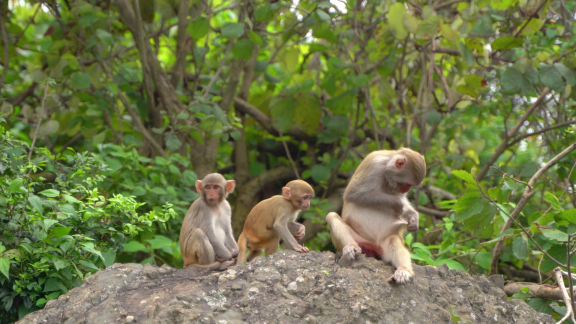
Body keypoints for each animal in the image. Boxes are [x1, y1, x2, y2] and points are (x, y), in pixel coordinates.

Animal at [326, 149, 426, 284]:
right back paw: (351, 247)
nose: (406, 190)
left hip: (384, 249)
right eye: (407, 184)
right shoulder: (374, 164)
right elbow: (354, 193)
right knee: (332, 216)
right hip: (360, 241)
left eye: (410, 185)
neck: (386, 170)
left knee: (393, 239)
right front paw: (397, 203)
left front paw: (413, 218)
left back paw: (403, 271)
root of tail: (373, 246)